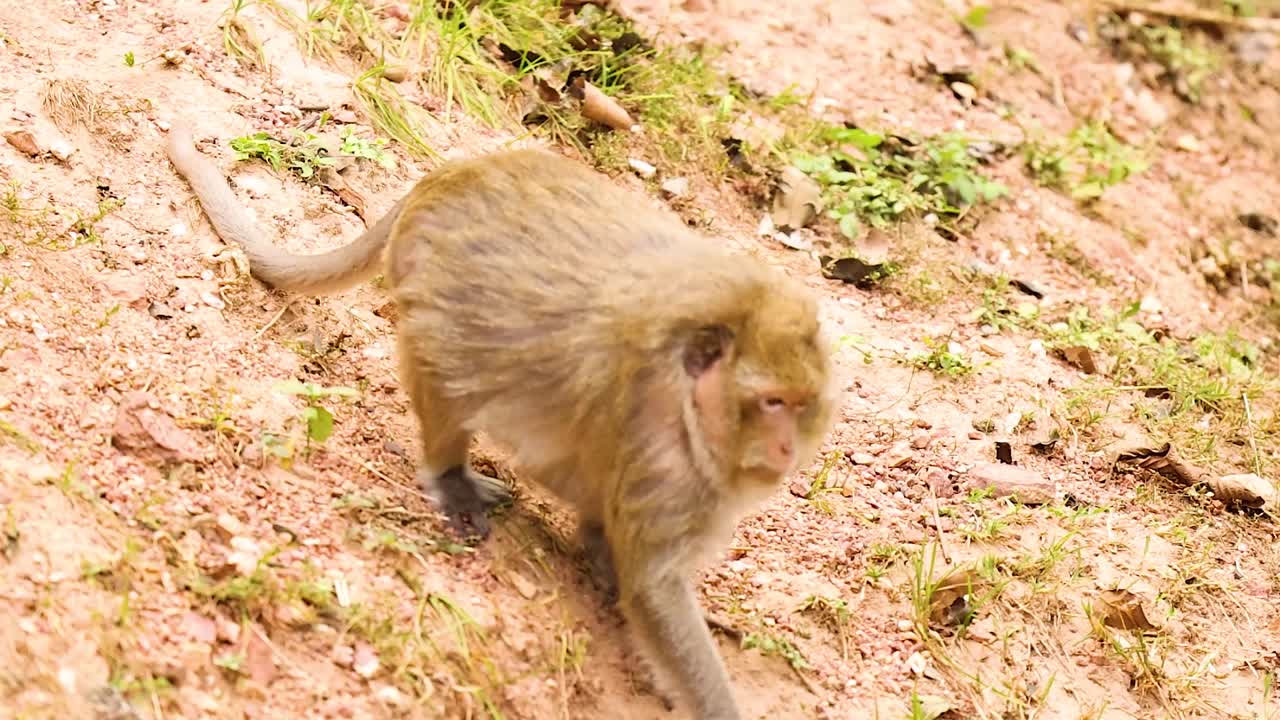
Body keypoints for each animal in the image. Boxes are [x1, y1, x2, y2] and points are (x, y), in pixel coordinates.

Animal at [165, 122, 840, 719]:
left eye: (802, 404)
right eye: (772, 403)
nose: (786, 450)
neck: (686, 391)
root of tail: (448, 175)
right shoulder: (663, 454)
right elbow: (653, 585)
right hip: (428, 281)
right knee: (448, 363)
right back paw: (450, 474)